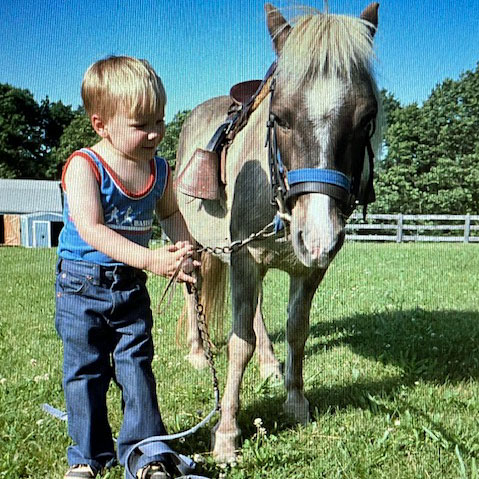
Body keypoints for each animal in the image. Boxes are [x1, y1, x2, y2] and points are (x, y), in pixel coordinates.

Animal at [175, 1, 382, 464]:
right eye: (279, 118)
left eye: (366, 118)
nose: (319, 236)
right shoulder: (243, 258)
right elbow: (239, 345)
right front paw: (226, 435)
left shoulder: (307, 269)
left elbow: (296, 330)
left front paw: (295, 402)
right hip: (195, 244)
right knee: (193, 287)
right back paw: (198, 351)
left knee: (257, 314)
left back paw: (271, 365)